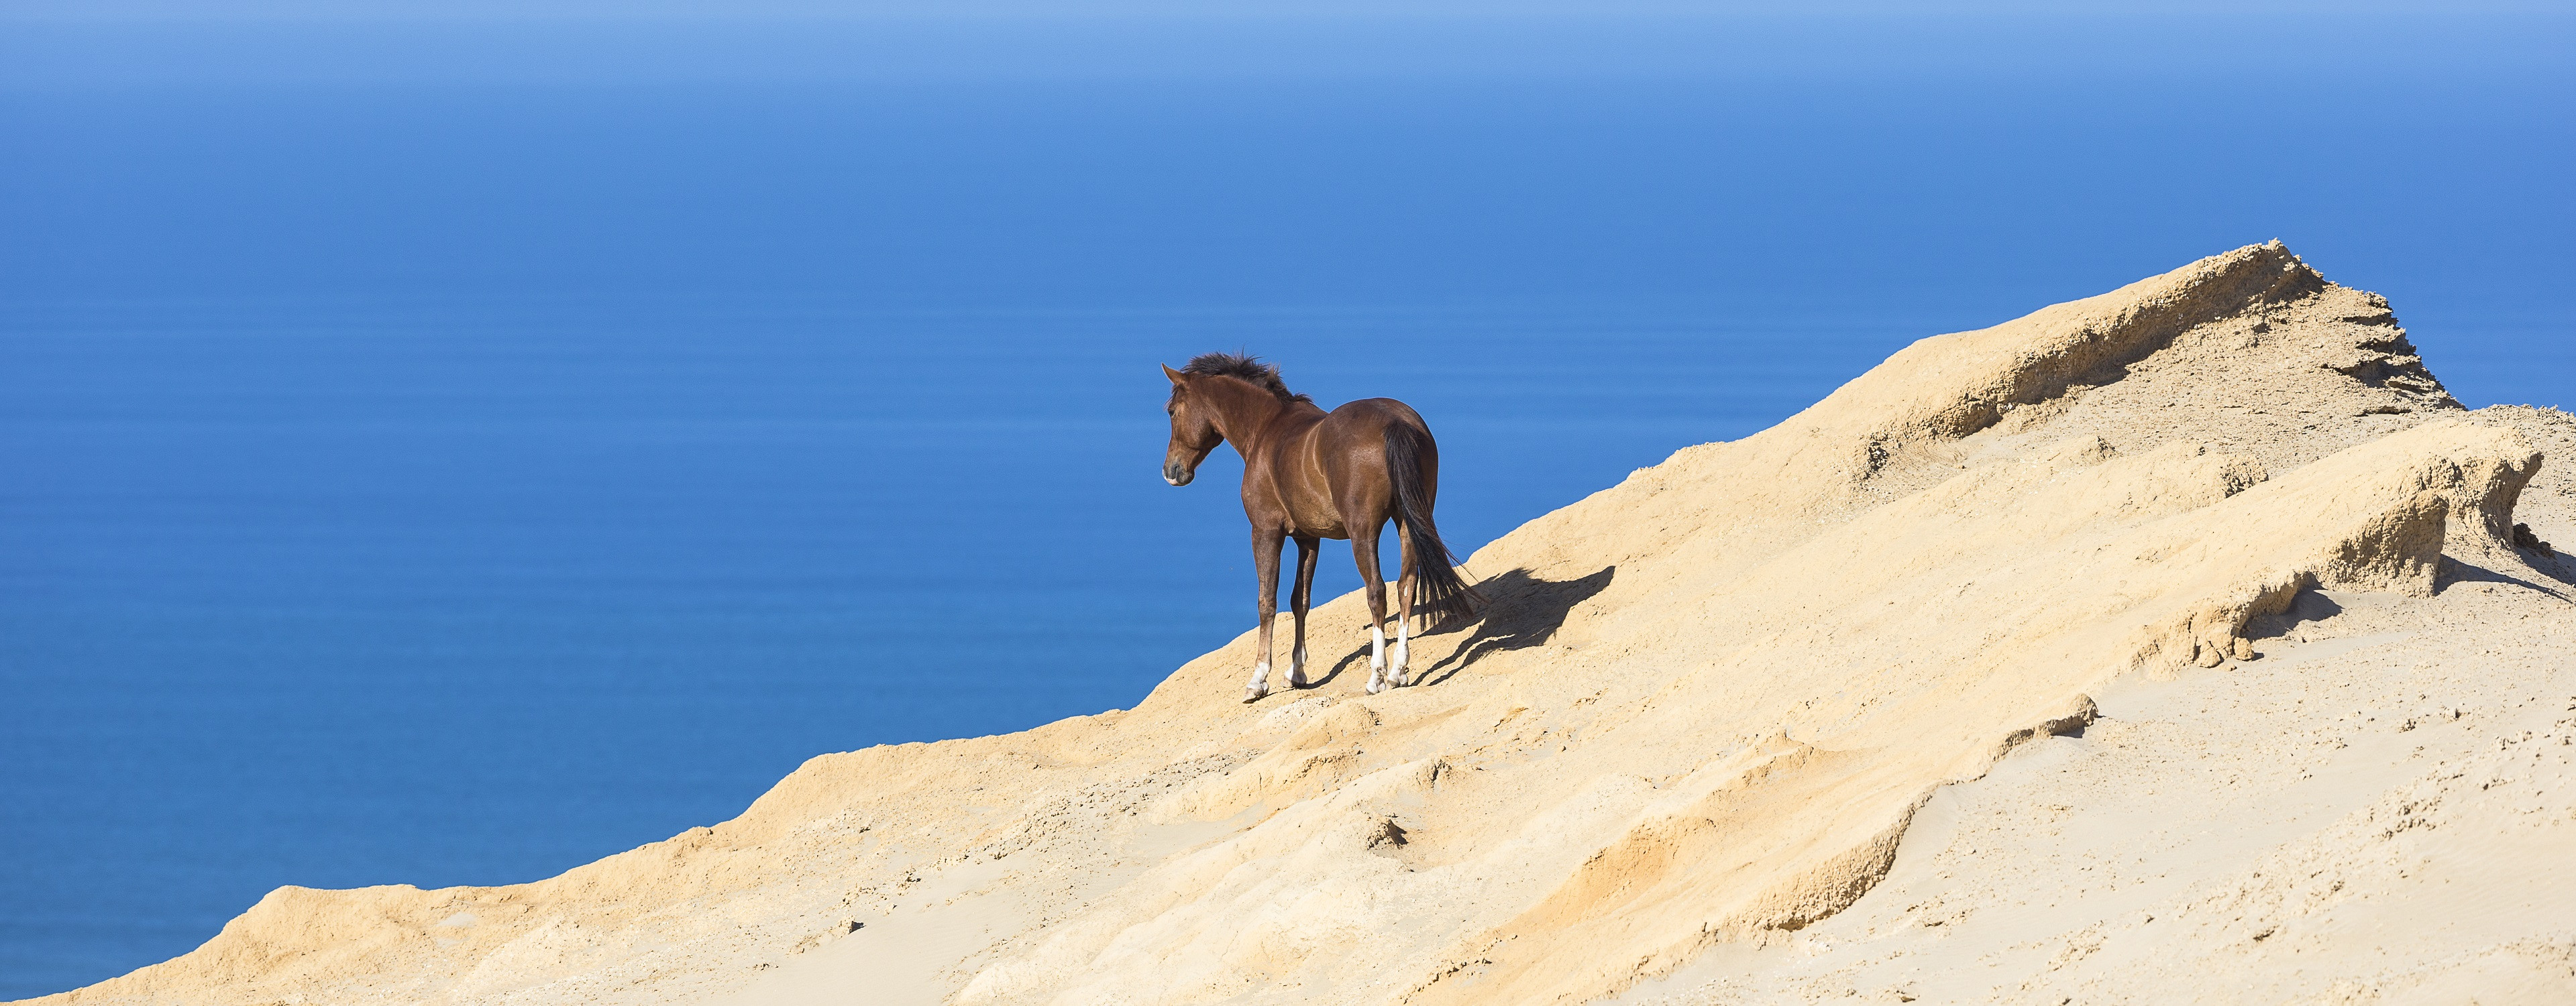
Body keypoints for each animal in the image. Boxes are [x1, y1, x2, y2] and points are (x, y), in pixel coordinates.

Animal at [1159, 352, 1483, 700]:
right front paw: (1297, 672)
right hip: (1408, 524)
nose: (1171, 471)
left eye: (1172, 411)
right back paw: (1398, 671)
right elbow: (1299, 600)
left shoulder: (1265, 532)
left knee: (1377, 592)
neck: (1267, 430)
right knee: (1406, 585)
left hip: (1363, 534)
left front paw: (1259, 678)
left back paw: (1377, 676)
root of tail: (1395, 422)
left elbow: (1267, 601)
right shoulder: (1308, 539)